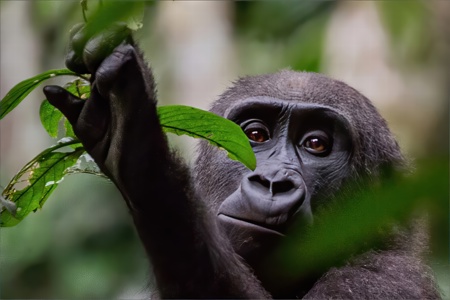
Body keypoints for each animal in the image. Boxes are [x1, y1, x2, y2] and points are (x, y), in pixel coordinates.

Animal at [43, 27, 440, 298]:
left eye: (316, 144)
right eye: (257, 135)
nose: (273, 183)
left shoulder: (382, 279)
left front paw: (136, 143)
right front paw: (121, 122)